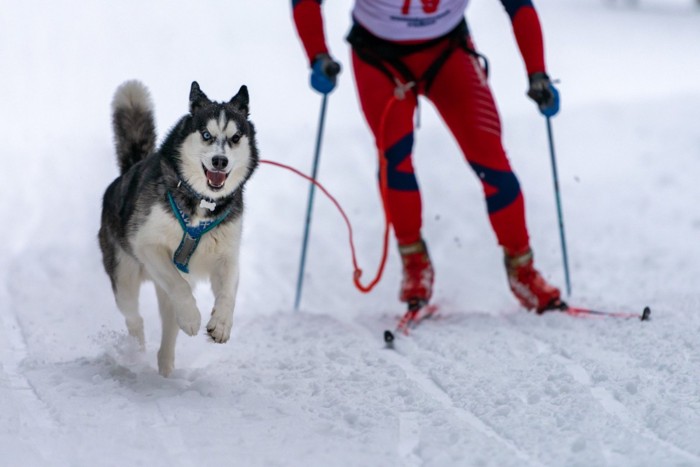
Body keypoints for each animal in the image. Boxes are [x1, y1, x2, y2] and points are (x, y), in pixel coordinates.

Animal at [100, 80, 258, 376]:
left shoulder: (227, 255)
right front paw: (193, 317)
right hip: (124, 279)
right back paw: (137, 350)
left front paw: (221, 324)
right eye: (206, 134)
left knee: (168, 329)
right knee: (134, 317)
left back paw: (166, 366)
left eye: (234, 138)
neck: (201, 204)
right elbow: (179, 286)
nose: (220, 161)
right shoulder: (147, 245)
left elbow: (228, 292)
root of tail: (126, 173)